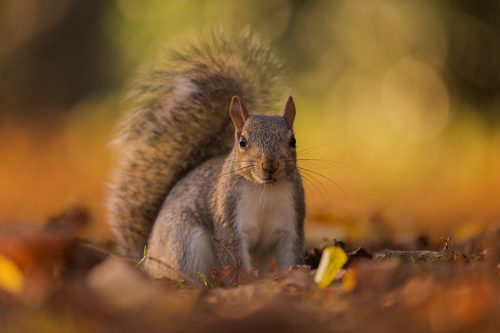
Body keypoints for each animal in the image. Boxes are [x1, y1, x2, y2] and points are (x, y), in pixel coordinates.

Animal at [106, 30, 304, 280]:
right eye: (242, 142)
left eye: (293, 140)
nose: (269, 165)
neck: (265, 190)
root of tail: (148, 260)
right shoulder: (227, 218)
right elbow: (233, 256)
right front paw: (244, 282)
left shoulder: (291, 221)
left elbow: (291, 255)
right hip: (186, 246)